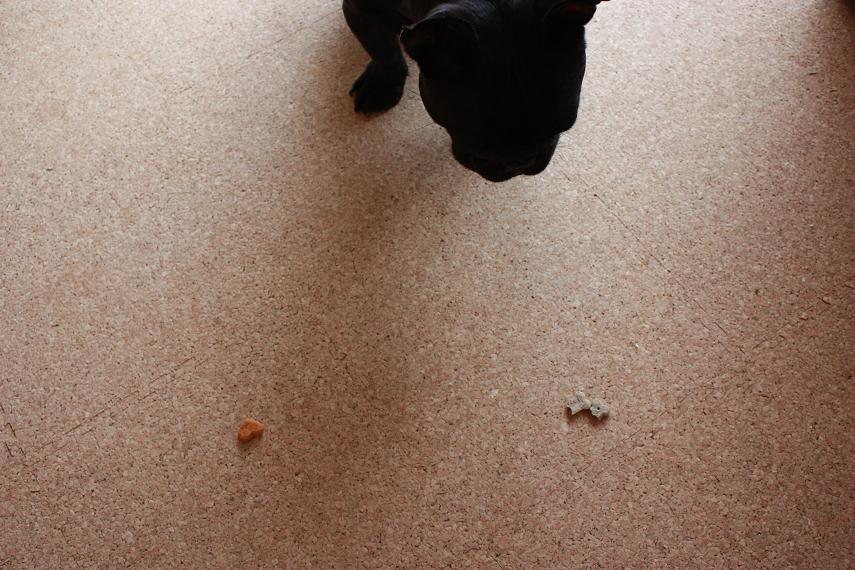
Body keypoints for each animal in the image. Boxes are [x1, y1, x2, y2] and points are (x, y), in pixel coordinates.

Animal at [343, 0, 608, 182]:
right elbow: (381, 47)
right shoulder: (360, 8)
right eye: (478, 140)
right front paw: (383, 82)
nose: (522, 160)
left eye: (563, 126)